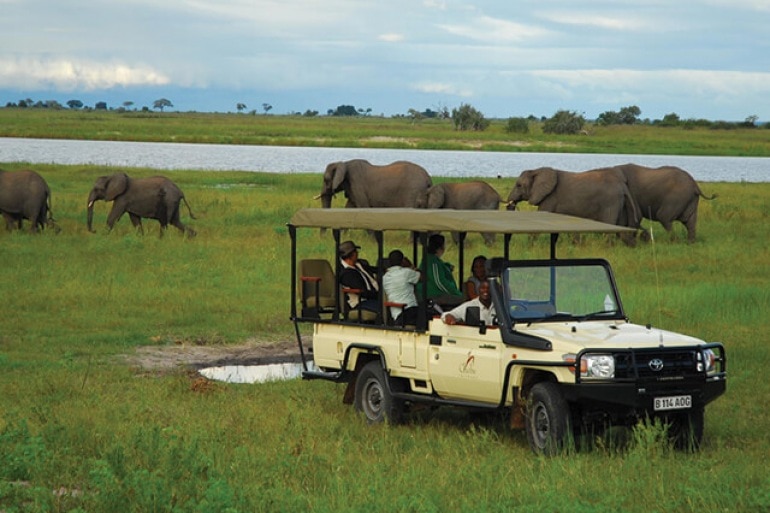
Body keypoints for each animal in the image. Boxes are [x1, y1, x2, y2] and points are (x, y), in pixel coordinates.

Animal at [508, 164, 640, 244]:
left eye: (519, 185)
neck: (537, 170)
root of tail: (622, 185)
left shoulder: (550, 198)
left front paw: (530, 246)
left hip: (610, 202)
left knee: (609, 227)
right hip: (620, 203)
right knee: (622, 229)